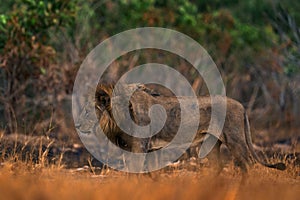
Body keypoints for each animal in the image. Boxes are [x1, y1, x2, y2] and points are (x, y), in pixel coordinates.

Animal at [75, 83, 286, 173]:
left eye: (87, 111)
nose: (76, 124)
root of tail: (242, 106)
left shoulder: (140, 147)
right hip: (211, 144)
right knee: (218, 167)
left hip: (236, 140)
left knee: (247, 165)